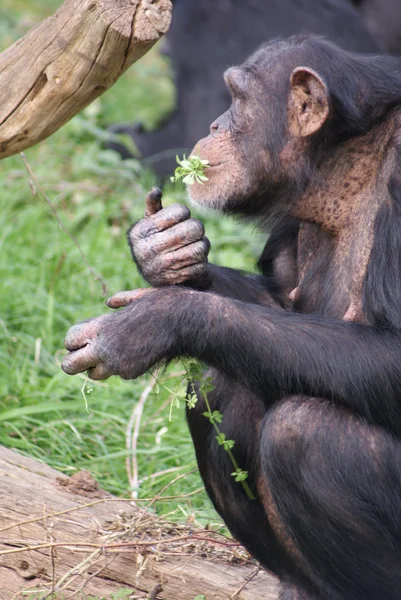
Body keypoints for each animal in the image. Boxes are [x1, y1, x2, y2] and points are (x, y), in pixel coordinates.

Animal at [63, 37, 401, 600]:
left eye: (238, 99)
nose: (215, 122)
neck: (344, 162)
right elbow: (279, 305)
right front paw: (163, 249)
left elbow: (390, 354)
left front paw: (159, 321)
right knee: (219, 385)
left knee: (305, 432)